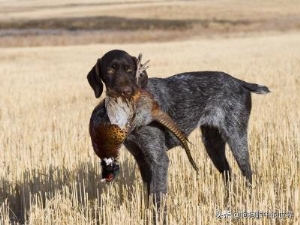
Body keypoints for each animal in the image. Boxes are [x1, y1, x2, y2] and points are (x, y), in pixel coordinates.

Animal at [86, 50, 270, 208]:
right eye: (110, 69)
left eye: (129, 69)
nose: (126, 91)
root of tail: (239, 82)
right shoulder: (142, 159)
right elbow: (150, 195)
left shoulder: (159, 159)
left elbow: (158, 197)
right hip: (212, 144)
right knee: (228, 173)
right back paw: (228, 202)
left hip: (236, 138)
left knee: (248, 174)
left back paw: (248, 201)